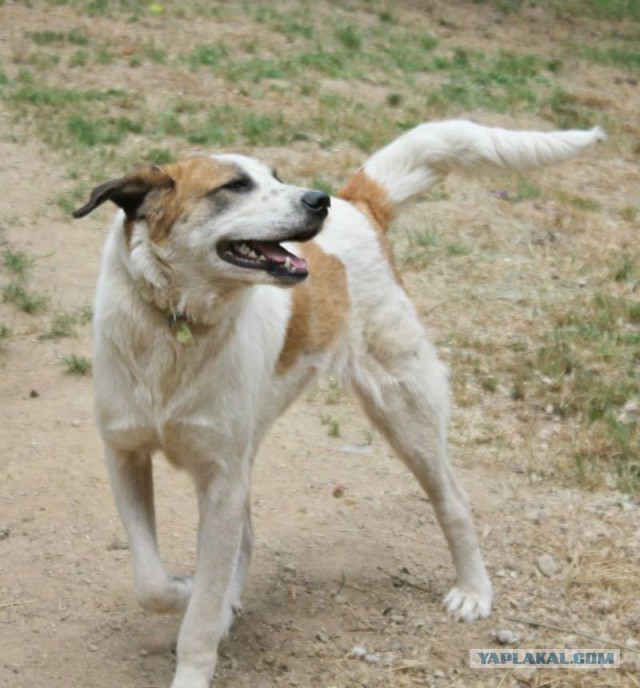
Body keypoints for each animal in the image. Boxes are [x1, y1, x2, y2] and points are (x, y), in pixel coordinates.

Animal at [72, 119, 604, 688]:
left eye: (276, 175)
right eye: (235, 186)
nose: (317, 200)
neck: (178, 323)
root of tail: (358, 205)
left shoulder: (220, 480)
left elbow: (197, 611)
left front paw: (196, 628)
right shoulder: (126, 456)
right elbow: (150, 580)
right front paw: (189, 592)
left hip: (405, 411)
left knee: (454, 502)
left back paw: (474, 591)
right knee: (245, 538)